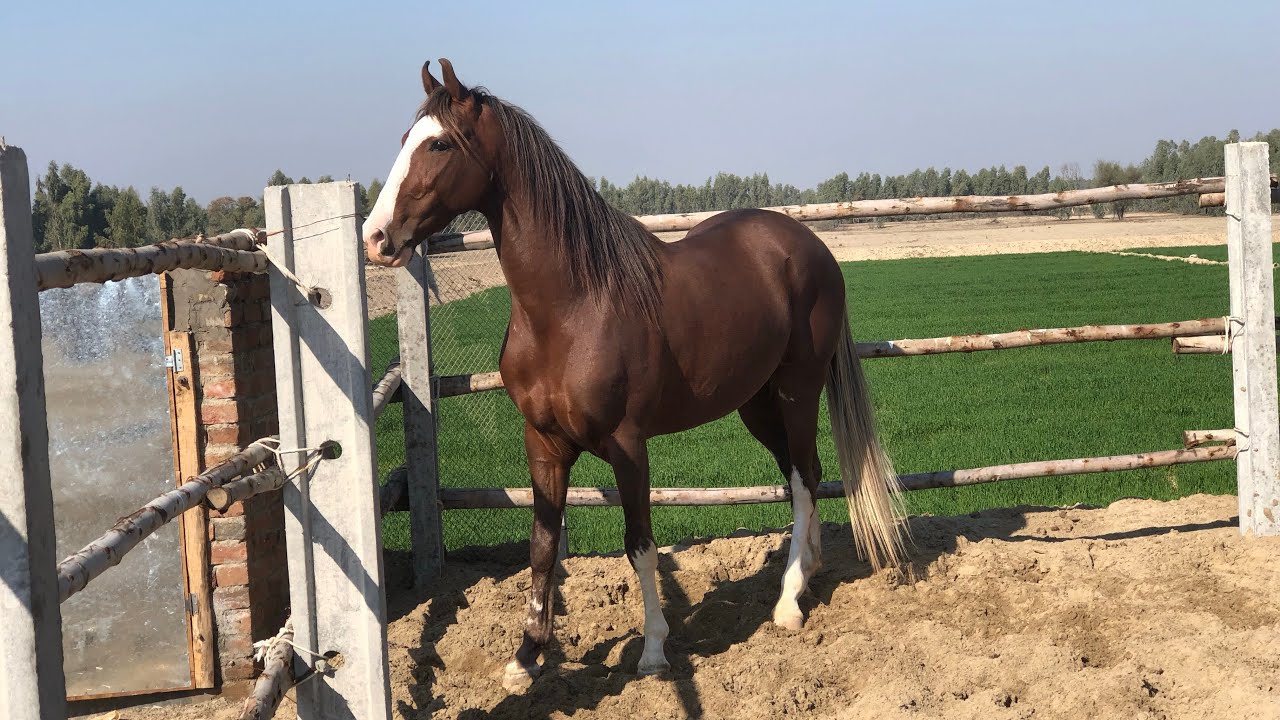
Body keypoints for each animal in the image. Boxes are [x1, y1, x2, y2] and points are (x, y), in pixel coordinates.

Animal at [363, 58, 908, 690]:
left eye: (440, 144)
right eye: (406, 139)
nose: (376, 238)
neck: (572, 307)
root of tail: (810, 244)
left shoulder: (628, 446)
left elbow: (640, 544)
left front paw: (652, 650)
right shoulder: (543, 444)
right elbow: (542, 546)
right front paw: (525, 658)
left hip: (798, 390)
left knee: (802, 478)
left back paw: (789, 602)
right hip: (756, 402)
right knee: (806, 474)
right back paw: (809, 569)